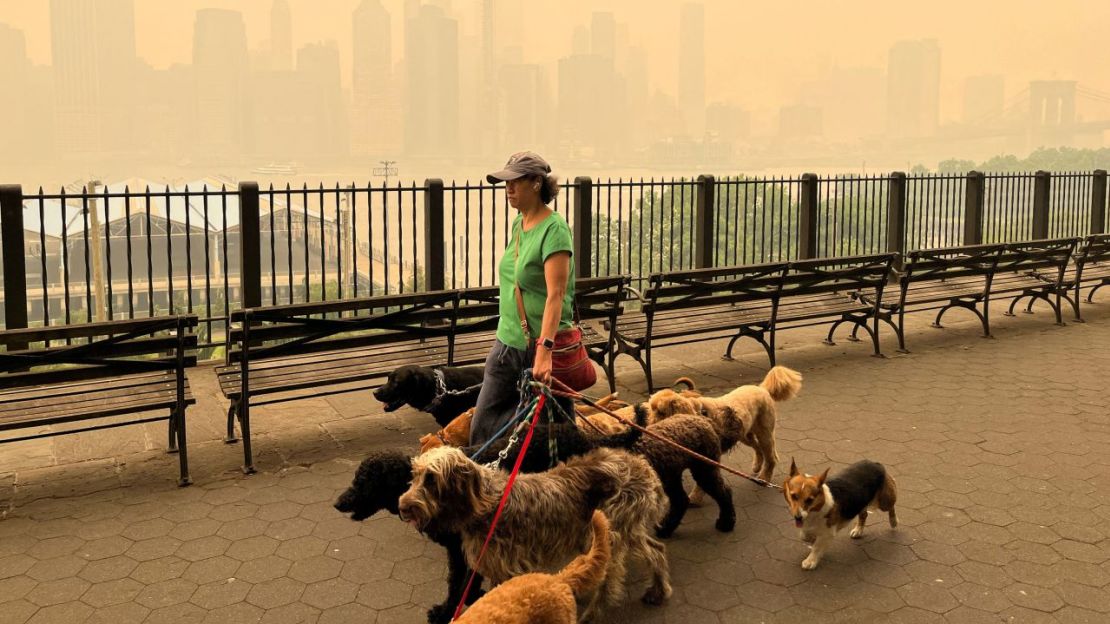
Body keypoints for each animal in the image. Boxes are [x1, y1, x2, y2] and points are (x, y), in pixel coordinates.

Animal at [648, 364, 799, 481]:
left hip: (764, 433)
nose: (649, 426)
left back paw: (765, 477)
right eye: (652, 408)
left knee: (770, 457)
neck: (699, 412)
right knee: (758, 448)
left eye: (661, 412)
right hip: (745, 435)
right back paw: (757, 466)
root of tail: (762, 389)